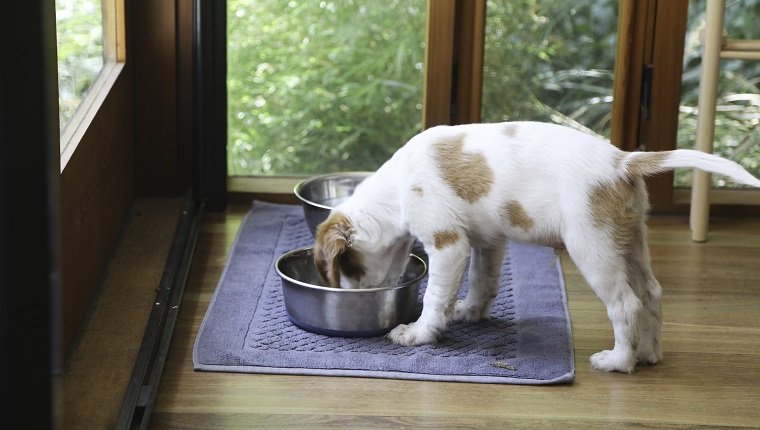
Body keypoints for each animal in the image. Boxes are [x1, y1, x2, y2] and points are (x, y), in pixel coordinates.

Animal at [312, 121, 756, 372]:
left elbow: (435, 298)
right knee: (651, 293)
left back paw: (619, 362)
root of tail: (622, 161)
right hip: (630, 242)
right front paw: (469, 312)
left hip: (592, 246)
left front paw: (419, 333)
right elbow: (483, 282)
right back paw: (648, 353)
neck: (396, 187)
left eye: (343, 269)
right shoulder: (488, 241)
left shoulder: (448, 244)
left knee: (626, 304)